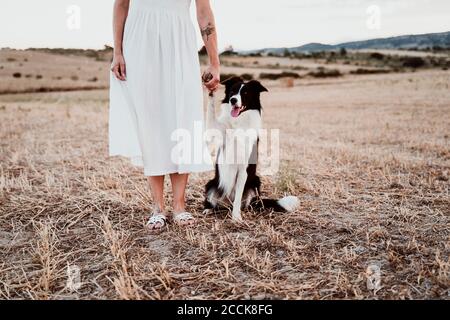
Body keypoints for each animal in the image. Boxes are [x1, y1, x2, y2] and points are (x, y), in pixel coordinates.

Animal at [204, 77, 298, 222]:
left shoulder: (244, 169)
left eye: (245, 93)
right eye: (232, 91)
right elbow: (211, 110)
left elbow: (238, 198)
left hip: (254, 184)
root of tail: (227, 202)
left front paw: (236, 217)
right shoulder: (215, 127)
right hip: (212, 184)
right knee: (216, 204)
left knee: (245, 204)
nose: (233, 100)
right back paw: (209, 209)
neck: (239, 121)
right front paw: (211, 89)